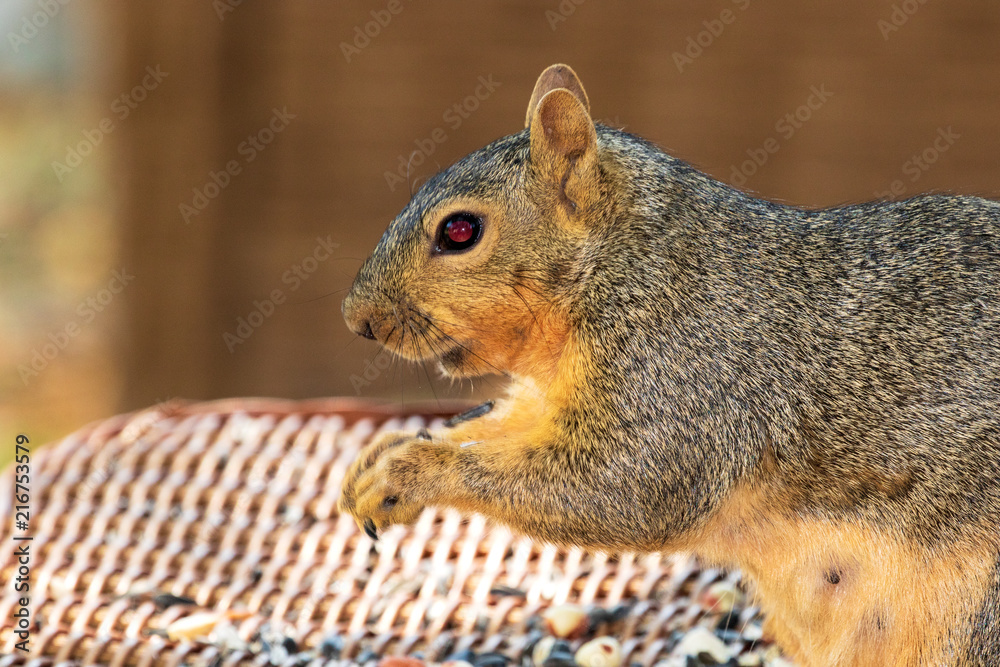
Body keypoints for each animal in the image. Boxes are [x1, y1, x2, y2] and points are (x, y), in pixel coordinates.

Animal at [338, 64, 1000, 665]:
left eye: (459, 231)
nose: (357, 319)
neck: (626, 258)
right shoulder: (553, 398)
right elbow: (500, 426)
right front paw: (382, 456)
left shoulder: (682, 370)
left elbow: (623, 487)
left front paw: (415, 471)